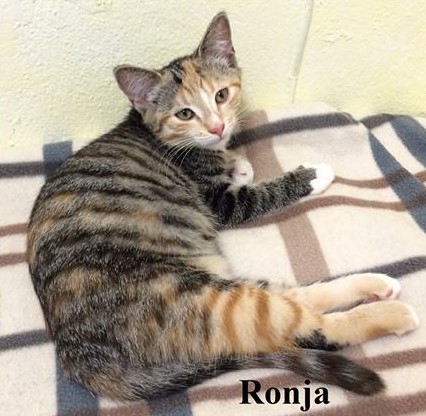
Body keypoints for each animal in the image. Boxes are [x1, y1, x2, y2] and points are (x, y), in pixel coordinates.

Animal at [27, 12, 419, 401]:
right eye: (184, 113)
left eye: (222, 95)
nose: (217, 127)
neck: (157, 134)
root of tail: (80, 358)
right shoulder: (217, 203)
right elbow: (257, 195)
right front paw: (307, 177)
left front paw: (237, 163)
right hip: (194, 296)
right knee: (306, 326)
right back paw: (394, 314)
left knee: (297, 298)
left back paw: (376, 283)